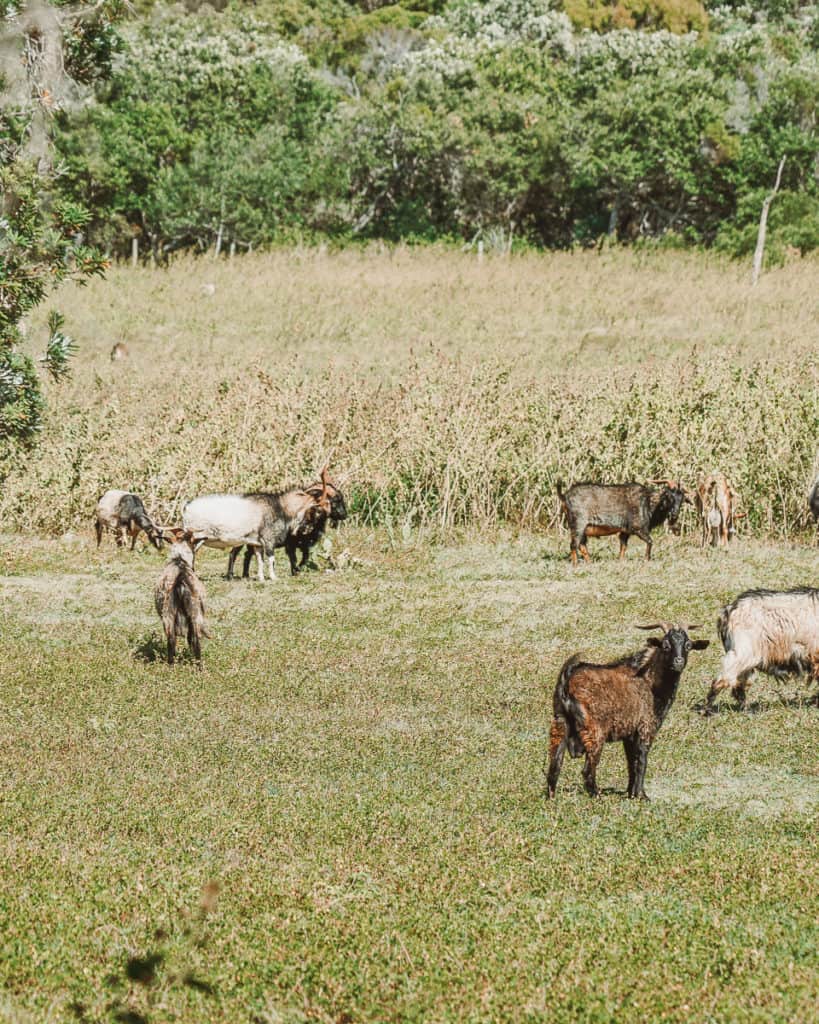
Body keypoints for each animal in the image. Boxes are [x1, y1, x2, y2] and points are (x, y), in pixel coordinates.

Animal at [154, 529, 209, 667]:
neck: (178, 559)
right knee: (194, 639)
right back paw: (198, 666)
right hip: (194, 613)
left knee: (172, 639)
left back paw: (171, 665)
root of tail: (180, 580)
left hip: (168, 614)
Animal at [182, 470, 331, 582]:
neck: (280, 507)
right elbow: (271, 559)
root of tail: (187, 507)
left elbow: (260, 560)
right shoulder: (269, 540)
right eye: (317, 512)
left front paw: (261, 578)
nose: (307, 531)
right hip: (197, 537)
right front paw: (273, 577)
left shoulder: (257, 543)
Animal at [547, 622, 708, 798]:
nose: (678, 661)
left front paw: (631, 793)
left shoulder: (629, 733)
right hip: (594, 730)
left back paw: (551, 797)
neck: (649, 681)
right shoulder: (646, 727)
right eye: (666, 645)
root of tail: (567, 679)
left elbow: (631, 762)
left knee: (554, 766)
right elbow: (642, 760)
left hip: (560, 722)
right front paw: (641, 796)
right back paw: (597, 795)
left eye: (688, 645)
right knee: (587, 769)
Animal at [557, 479, 690, 564]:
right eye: (668, 497)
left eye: (682, 499)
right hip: (578, 523)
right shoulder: (638, 527)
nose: (674, 514)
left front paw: (621, 561)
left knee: (582, 545)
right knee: (574, 545)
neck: (649, 503)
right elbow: (650, 541)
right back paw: (575, 565)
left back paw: (589, 563)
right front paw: (646, 559)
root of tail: (564, 496)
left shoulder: (625, 531)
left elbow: (623, 546)